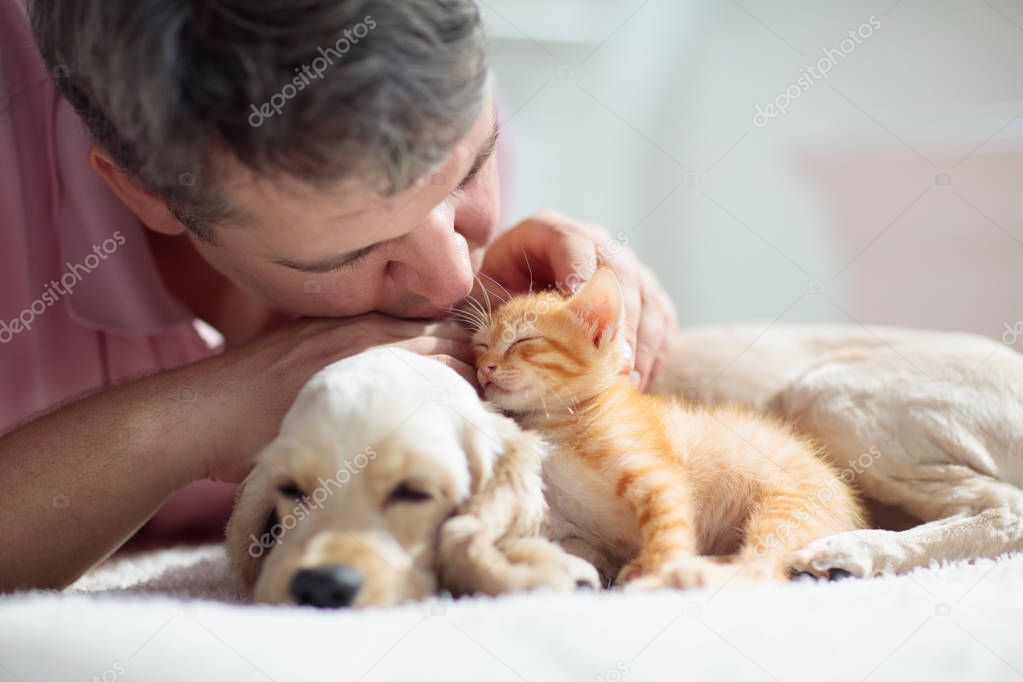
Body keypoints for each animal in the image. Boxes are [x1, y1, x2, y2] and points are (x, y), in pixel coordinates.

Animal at [468, 269, 863, 588]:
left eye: (522, 341)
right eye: (481, 345)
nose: (485, 367)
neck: (557, 418)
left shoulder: (656, 476)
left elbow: (668, 528)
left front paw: (659, 572)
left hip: (788, 508)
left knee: (762, 570)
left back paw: (692, 574)